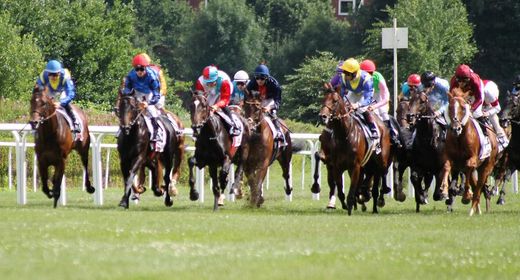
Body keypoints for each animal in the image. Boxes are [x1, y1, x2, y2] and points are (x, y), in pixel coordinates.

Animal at [308, 85, 390, 214]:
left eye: (335, 101)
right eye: (323, 99)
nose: (323, 116)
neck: (344, 135)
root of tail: (382, 125)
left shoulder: (355, 166)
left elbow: (352, 190)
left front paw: (351, 205)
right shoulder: (335, 165)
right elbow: (340, 189)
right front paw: (343, 204)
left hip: (380, 161)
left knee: (381, 175)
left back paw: (378, 201)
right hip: (367, 166)